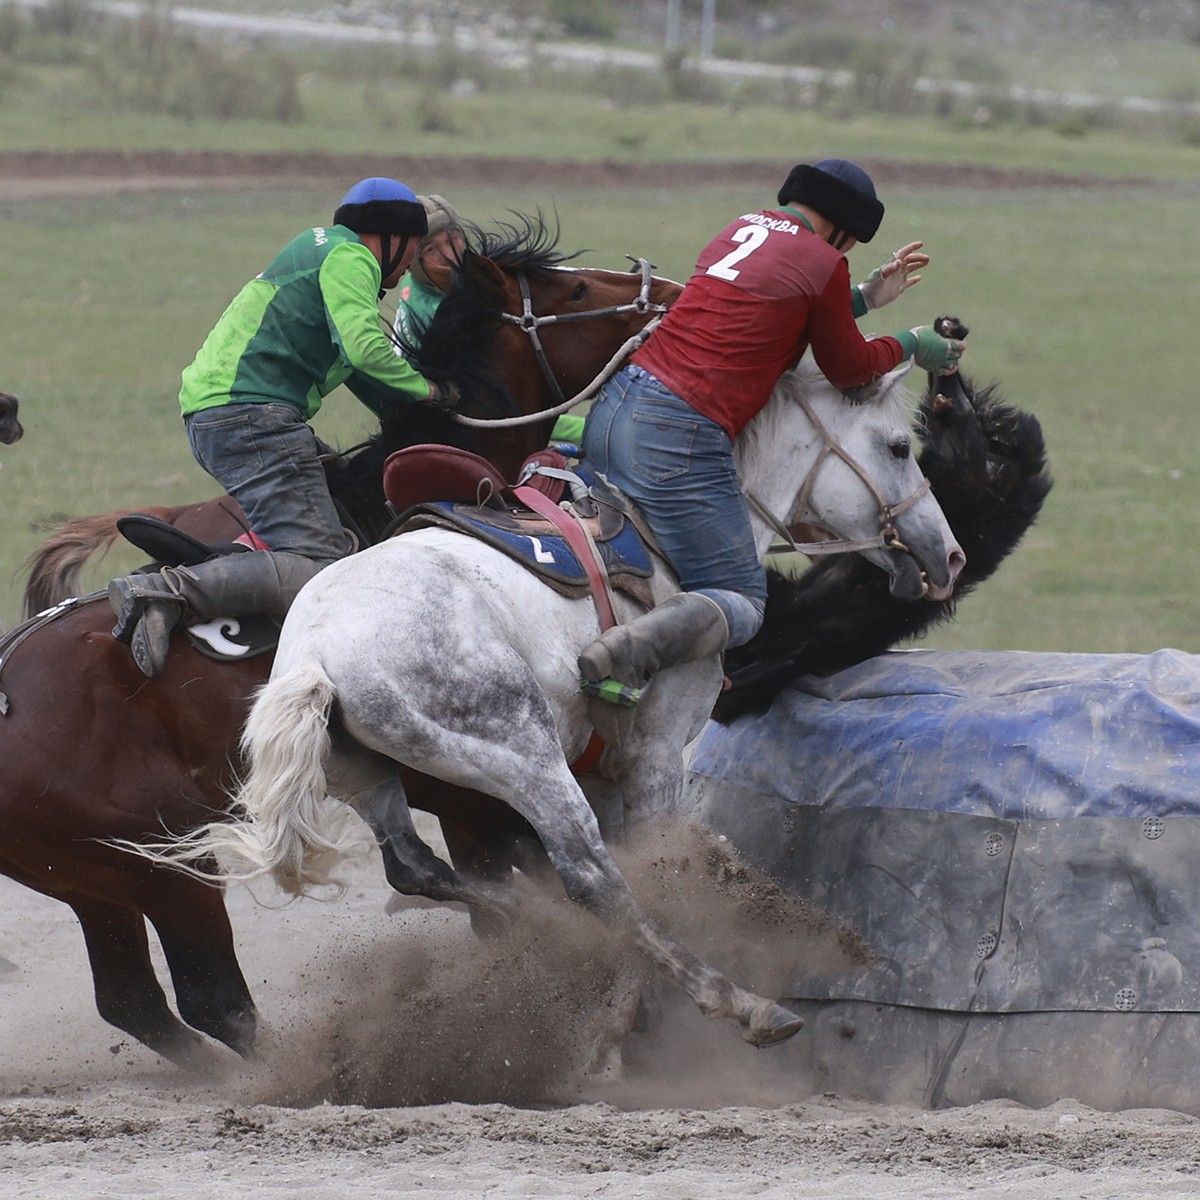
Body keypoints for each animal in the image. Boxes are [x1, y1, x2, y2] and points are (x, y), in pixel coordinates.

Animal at [0, 225, 681, 1070]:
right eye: (577, 290)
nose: (671, 293)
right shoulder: (475, 799)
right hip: (164, 868)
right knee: (214, 999)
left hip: (93, 882)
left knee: (136, 1002)